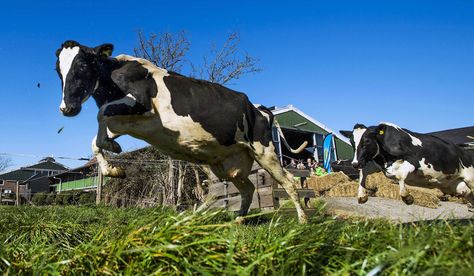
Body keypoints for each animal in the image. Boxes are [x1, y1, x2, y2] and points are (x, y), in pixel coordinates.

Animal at [55, 40, 310, 222]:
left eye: (82, 65)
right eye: (58, 70)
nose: (66, 108)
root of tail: (259, 107)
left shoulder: (141, 103)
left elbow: (101, 114)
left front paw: (112, 151)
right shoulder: (125, 121)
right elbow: (96, 138)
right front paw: (112, 163)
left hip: (264, 151)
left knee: (288, 182)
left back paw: (303, 220)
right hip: (227, 164)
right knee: (244, 188)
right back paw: (234, 218)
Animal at [340, 122, 474, 210]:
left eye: (367, 141)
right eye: (352, 142)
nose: (355, 164)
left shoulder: (413, 162)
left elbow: (400, 176)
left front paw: (408, 197)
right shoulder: (376, 164)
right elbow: (363, 173)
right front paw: (362, 196)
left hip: (471, 179)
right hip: (458, 187)